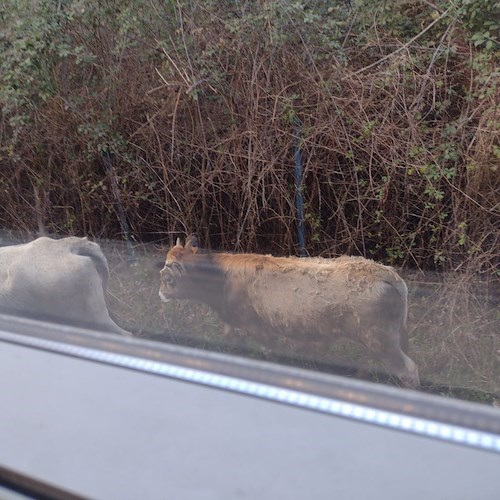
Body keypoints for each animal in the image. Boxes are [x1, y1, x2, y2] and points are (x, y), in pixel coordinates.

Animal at [159, 236, 418, 388]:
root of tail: (388, 275)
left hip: (380, 340)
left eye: (167, 278)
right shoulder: (232, 322)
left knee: (408, 370)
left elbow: (270, 352)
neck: (221, 278)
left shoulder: (258, 327)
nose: (160, 293)